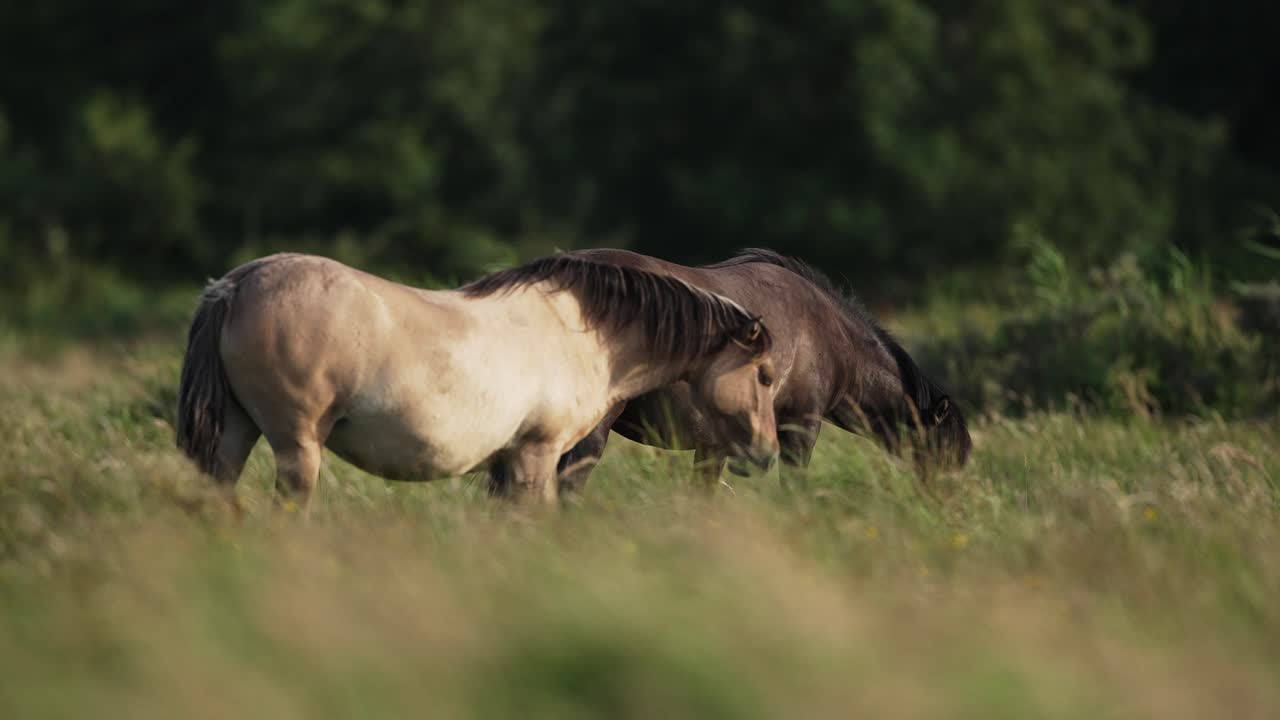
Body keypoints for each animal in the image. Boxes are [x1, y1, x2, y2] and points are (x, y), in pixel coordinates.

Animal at [175, 252, 780, 513]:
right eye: (766, 376)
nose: (768, 454)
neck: (583, 331)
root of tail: (235, 285)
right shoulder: (537, 454)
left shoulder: (511, 462)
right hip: (296, 446)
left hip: (236, 433)